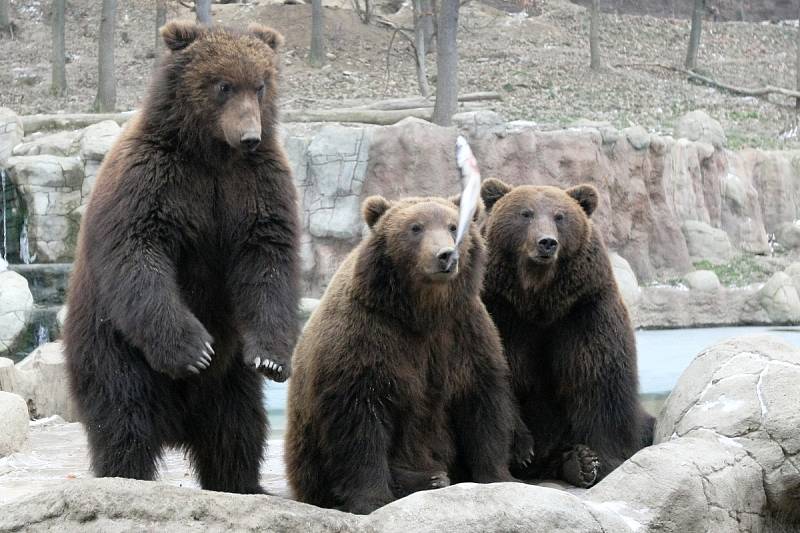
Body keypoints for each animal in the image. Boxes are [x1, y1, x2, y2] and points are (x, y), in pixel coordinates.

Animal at [63, 20, 300, 494]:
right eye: (223, 85)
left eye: (260, 85)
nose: (250, 136)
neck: (213, 154)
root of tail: (177, 427)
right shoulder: (154, 180)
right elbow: (140, 253)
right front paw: (194, 350)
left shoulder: (256, 187)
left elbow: (268, 259)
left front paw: (271, 357)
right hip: (111, 345)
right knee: (124, 417)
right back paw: (125, 474)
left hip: (230, 379)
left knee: (238, 428)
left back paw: (242, 482)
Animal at [286, 194, 520, 512]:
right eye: (415, 227)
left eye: (453, 226)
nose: (446, 255)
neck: (421, 312)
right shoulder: (369, 336)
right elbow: (360, 418)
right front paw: (371, 498)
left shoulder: (463, 334)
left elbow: (482, 405)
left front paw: (498, 476)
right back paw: (427, 478)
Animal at [478, 181, 652, 488]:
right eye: (525, 213)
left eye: (560, 216)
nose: (546, 242)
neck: (539, 301)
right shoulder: (501, 313)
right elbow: (501, 377)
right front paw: (521, 449)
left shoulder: (583, 313)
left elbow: (598, 380)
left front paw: (600, 460)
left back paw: (578, 462)